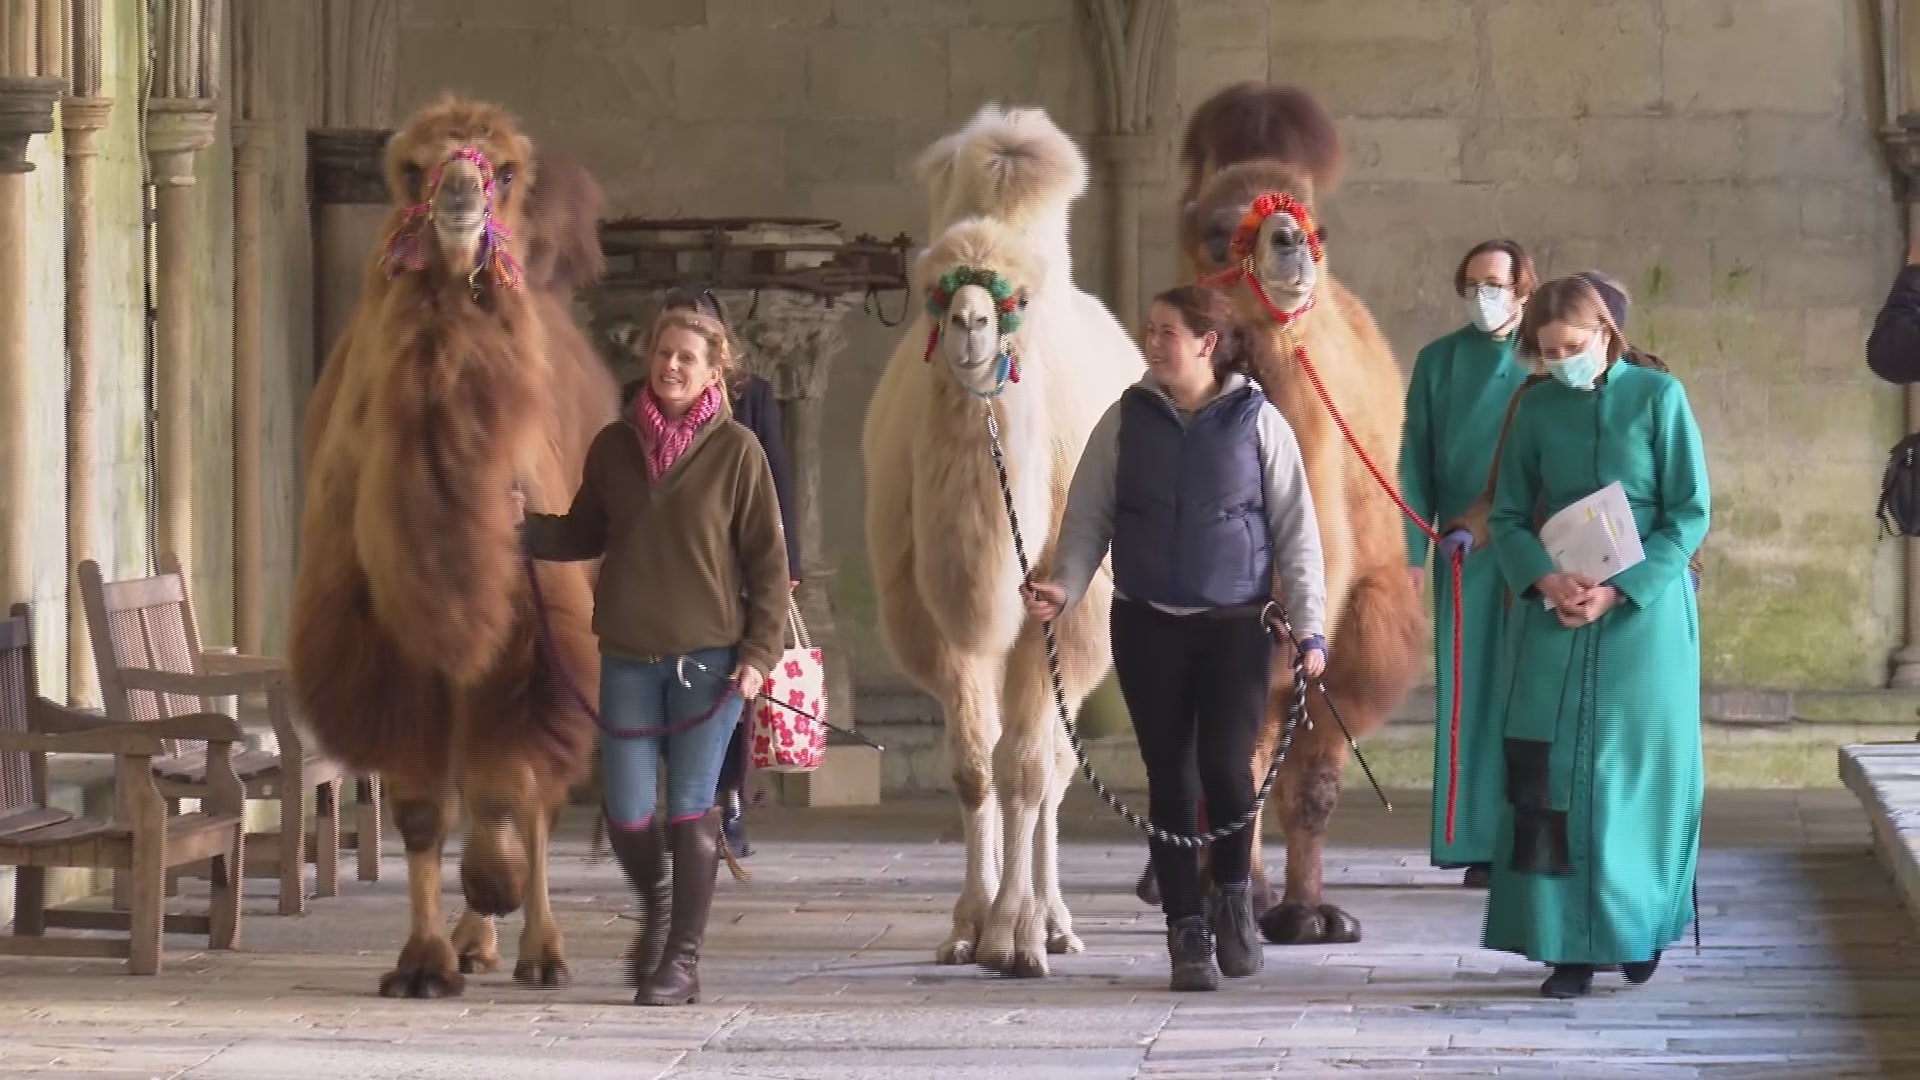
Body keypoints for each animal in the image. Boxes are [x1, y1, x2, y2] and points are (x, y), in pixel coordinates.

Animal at [289, 96, 614, 999]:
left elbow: (511, 791)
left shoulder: (535, 635)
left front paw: (501, 893)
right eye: (410, 169)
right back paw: (474, 941)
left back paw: (536, 946)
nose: (462, 192)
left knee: (532, 792)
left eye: (502, 169)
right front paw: (424, 961)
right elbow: (422, 811)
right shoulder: (385, 648)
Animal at [864, 109, 1144, 976]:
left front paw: (1015, 933)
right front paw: (967, 924)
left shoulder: (1055, 609)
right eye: (936, 293)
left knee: (1053, 767)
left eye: (1011, 297)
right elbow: (970, 768)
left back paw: (1055, 920)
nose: (970, 324)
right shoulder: (936, 620)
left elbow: (1023, 769)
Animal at [1128, 84, 1436, 941]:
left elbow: (1315, 779)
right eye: (1214, 228)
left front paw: (1307, 912)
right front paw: (1238, 895)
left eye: (1309, 222)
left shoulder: (1356, 629)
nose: (1289, 242)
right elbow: (1232, 766)